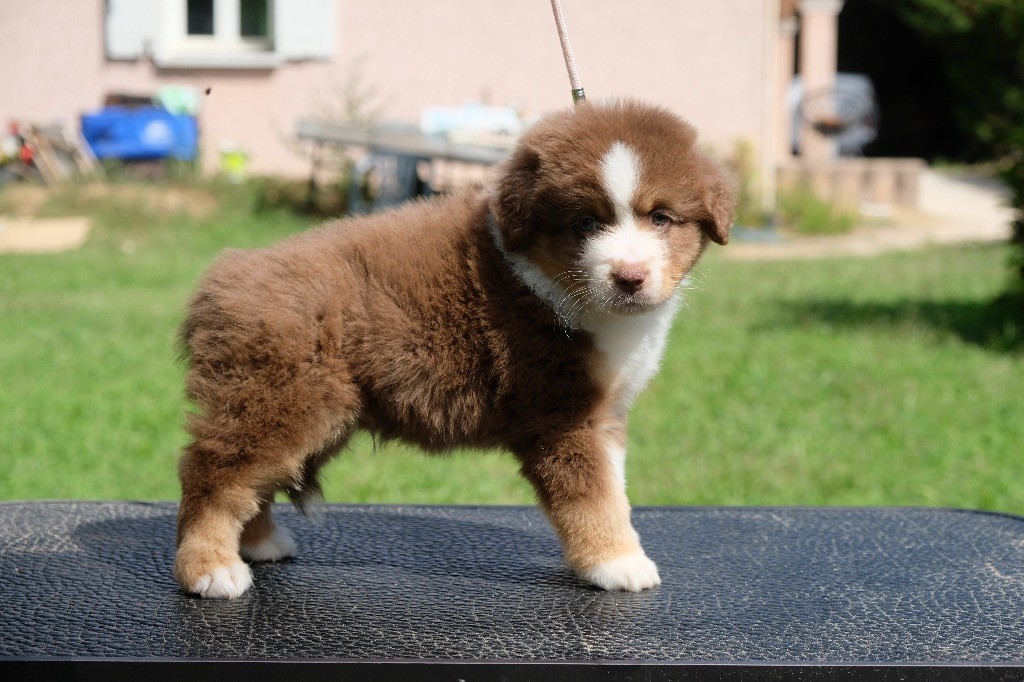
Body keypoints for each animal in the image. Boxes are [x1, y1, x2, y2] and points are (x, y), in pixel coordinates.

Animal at [174, 99, 736, 598]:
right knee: (214, 473)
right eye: (586, 223)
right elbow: (591, 496)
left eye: (660, 218)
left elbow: (614, 488)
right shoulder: (561, 414)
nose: (629, 277)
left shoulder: (605, 416)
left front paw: (620, 550)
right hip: (281, 399)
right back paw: (211, 568)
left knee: (253, 478)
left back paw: (260, 543)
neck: (550, 283)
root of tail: (218, 284)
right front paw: (617, 563)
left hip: (300, 408)